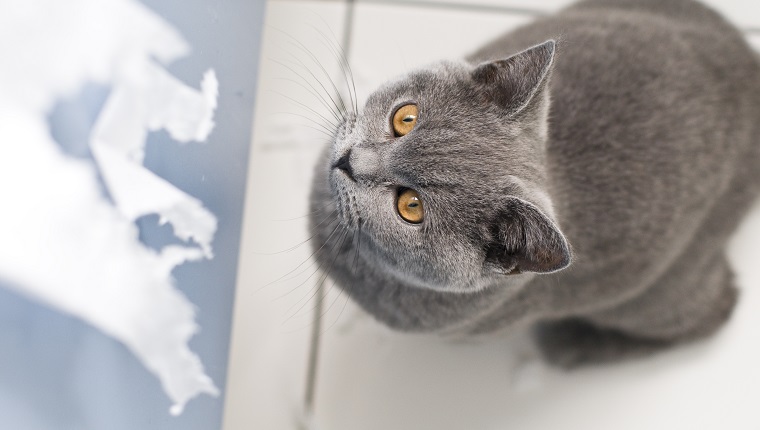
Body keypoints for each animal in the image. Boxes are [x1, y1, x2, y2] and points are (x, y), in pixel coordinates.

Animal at [306, 0, 756, 368]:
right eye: (406, 118)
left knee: (716, 310)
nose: (349, 161)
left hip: (657, 295)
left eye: (410, 206)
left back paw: (571, 344)